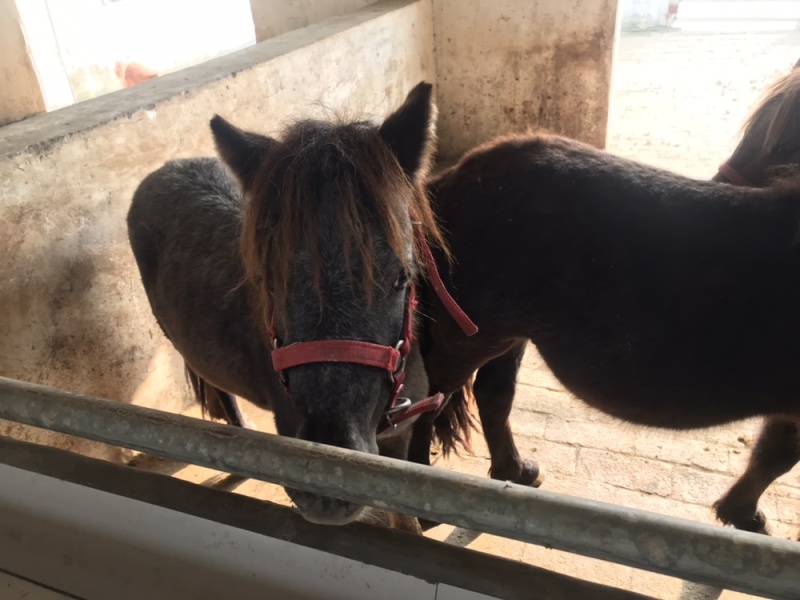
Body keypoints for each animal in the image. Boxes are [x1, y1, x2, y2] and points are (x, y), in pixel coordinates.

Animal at [413, 64, 800, 539]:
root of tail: (454, 178)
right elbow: (778, 457)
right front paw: (745, 516)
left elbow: (773, 453)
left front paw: (740, 513)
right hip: (470, 335)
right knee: (428, 400)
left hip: (508, 334)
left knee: (493, 394)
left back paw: (515, 472)